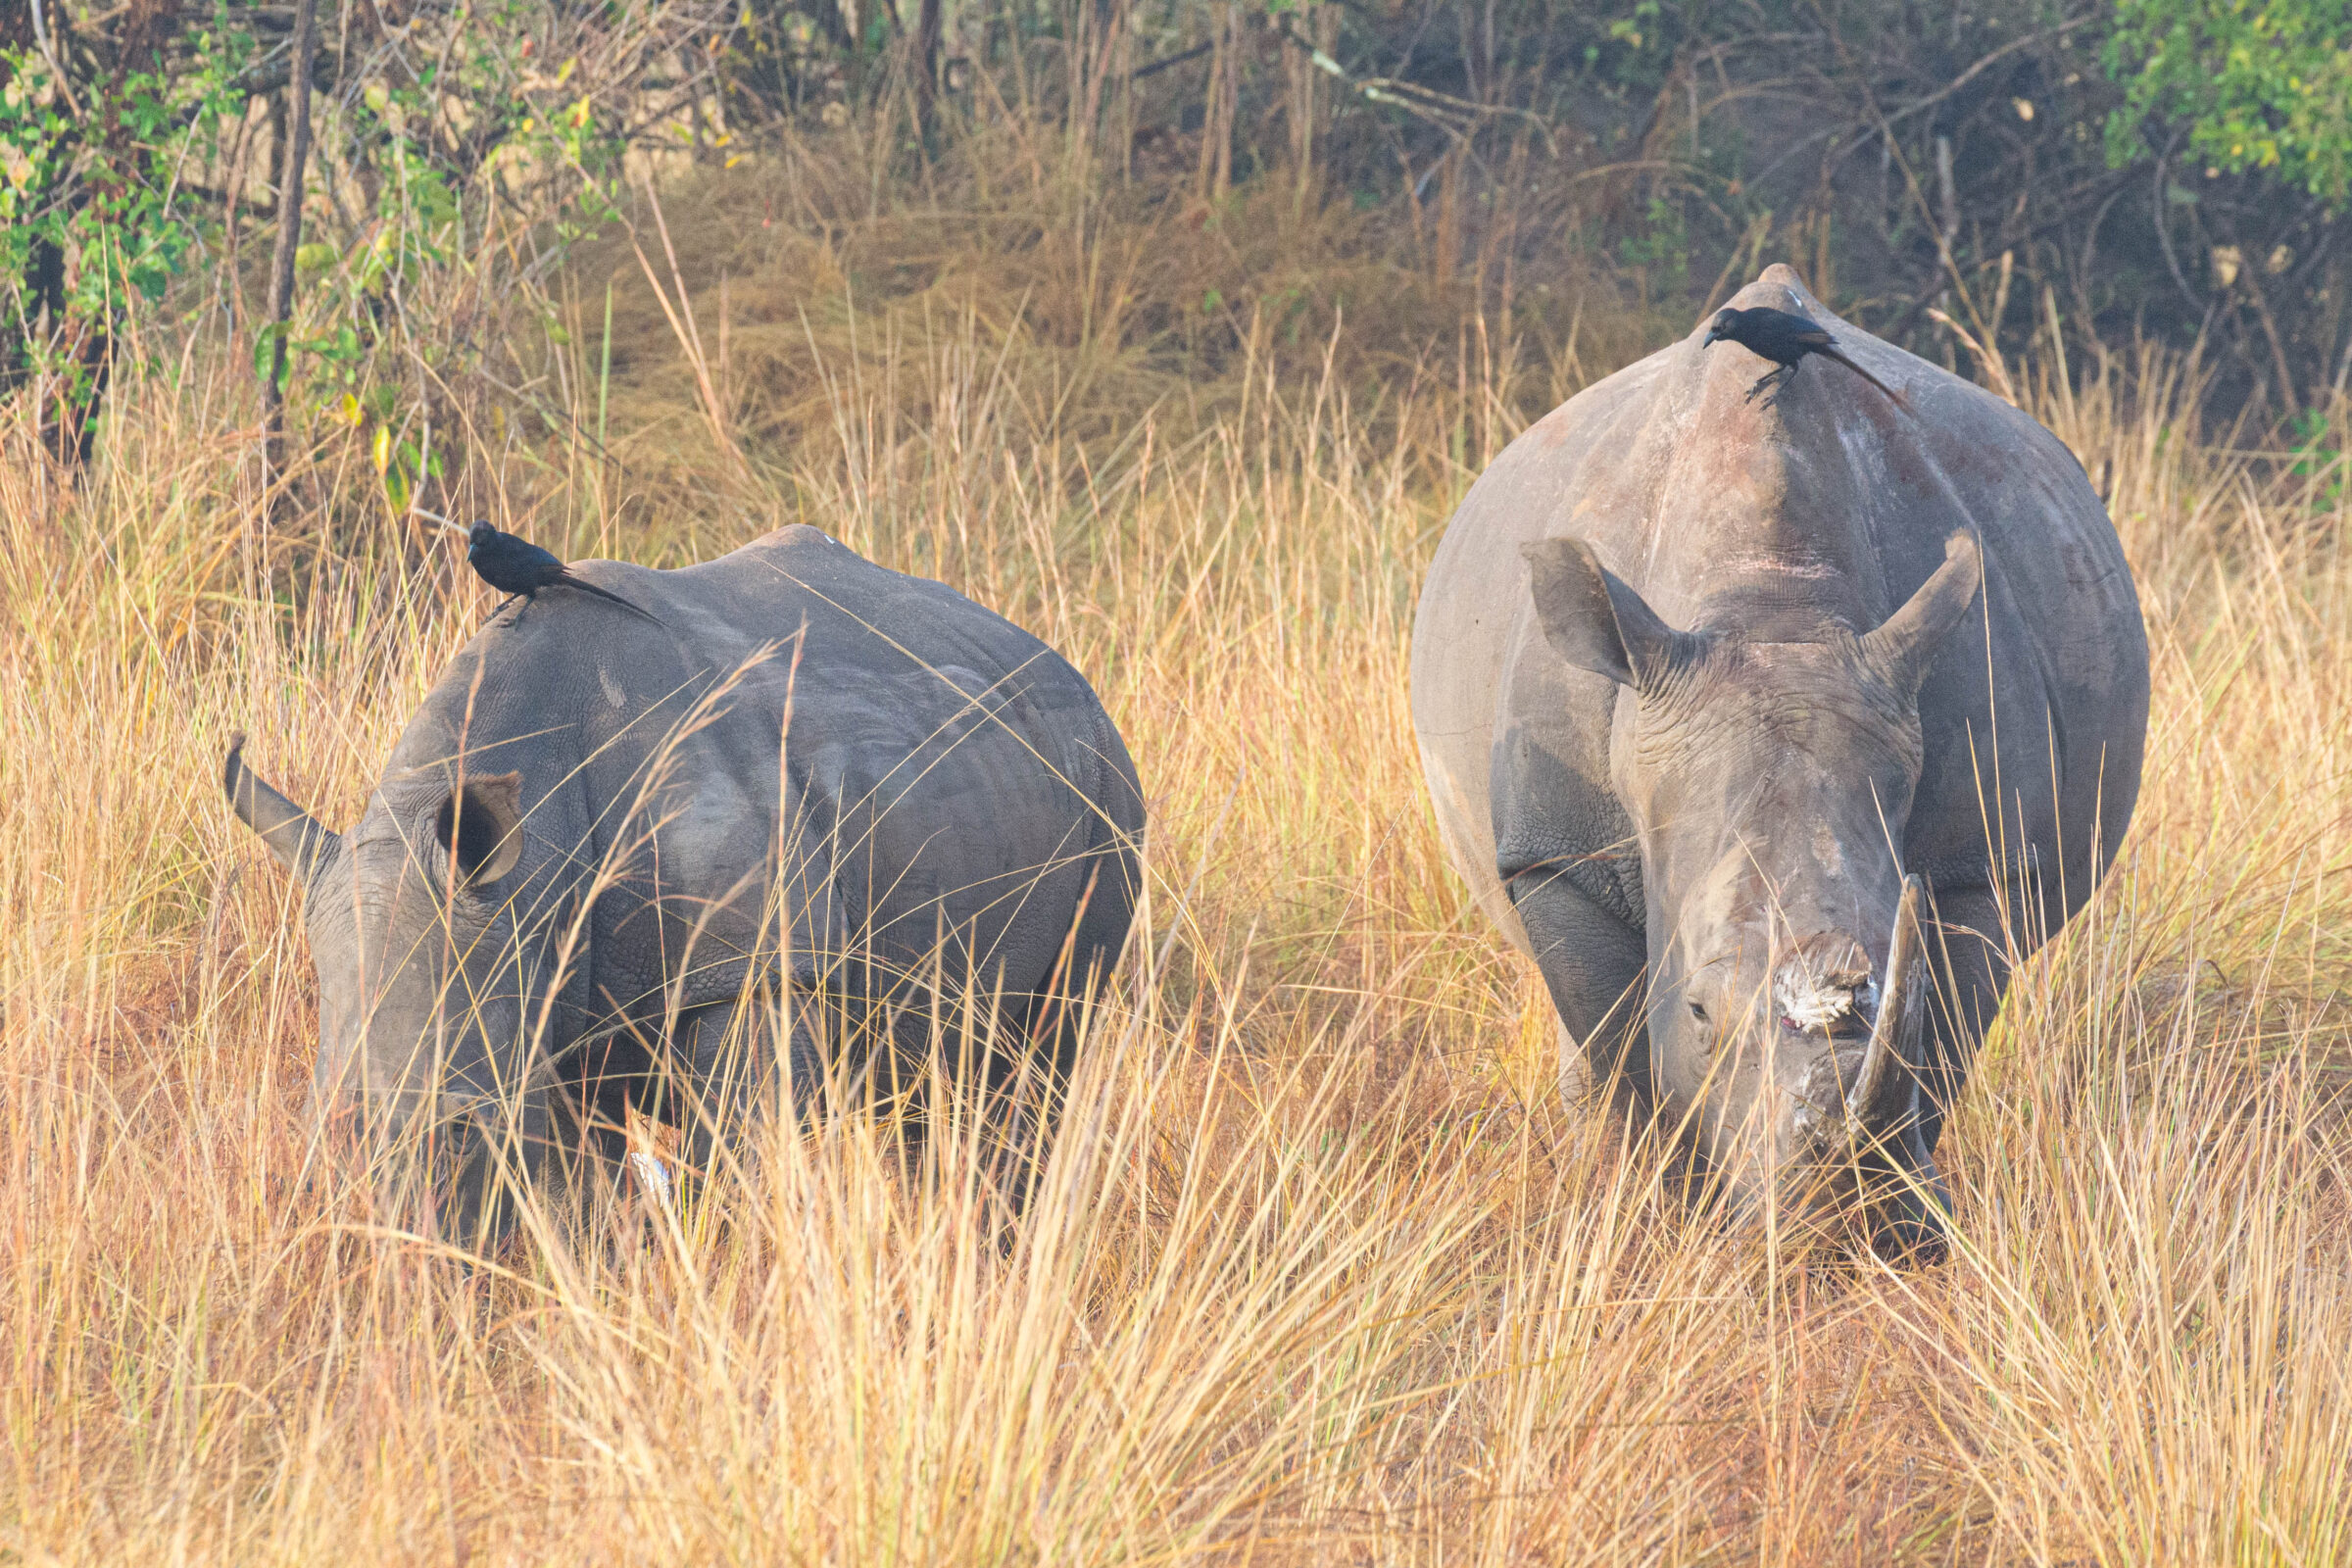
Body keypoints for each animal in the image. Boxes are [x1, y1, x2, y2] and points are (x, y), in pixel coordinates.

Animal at [227, 524, 1143, 1239]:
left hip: (1109, 791)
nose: (399, 1262)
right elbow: (579, 1197)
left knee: (1047, 1046)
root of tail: (1065, 665)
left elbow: (744, 1156)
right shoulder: (546, 986)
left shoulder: (752, 965)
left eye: (462, 1129)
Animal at [1411, 268, 2148, 1250]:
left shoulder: (1978, 863)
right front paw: (1665, 1225)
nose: (1841, 1236)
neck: (1773, 604)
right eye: (1698, 1011)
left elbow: (1944, 1042)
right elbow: (1621, 1049)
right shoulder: (1556, 853)